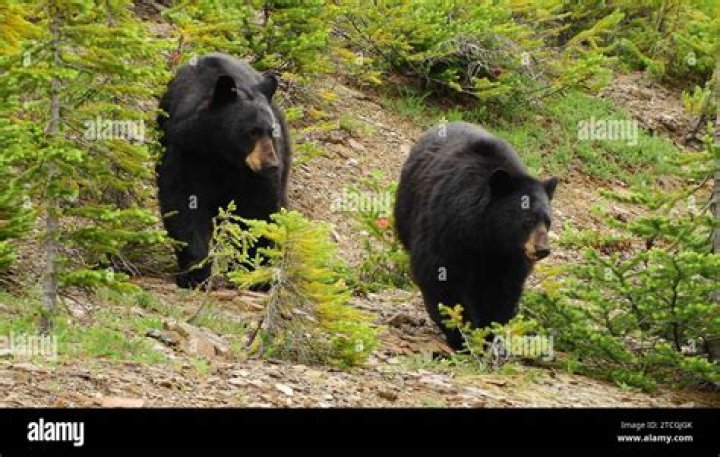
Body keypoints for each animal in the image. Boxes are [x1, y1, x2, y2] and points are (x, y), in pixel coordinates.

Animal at [156, 53, 291, 289]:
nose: (271, 165)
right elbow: (184, 202)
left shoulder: (254, 176)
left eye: (270, 131)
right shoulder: (186, 150)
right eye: (253, 132)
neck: (224, 154)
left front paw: (255, 273)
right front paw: (195, 273)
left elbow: (260, 209)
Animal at [394, 121, 558, 350]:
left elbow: (504, 290)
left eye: (547, 221)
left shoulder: (510, 257)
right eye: (527, 220)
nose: (542, 249)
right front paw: (461, 333)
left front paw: (489, 333)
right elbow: (439, 276)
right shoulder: (445, 229)